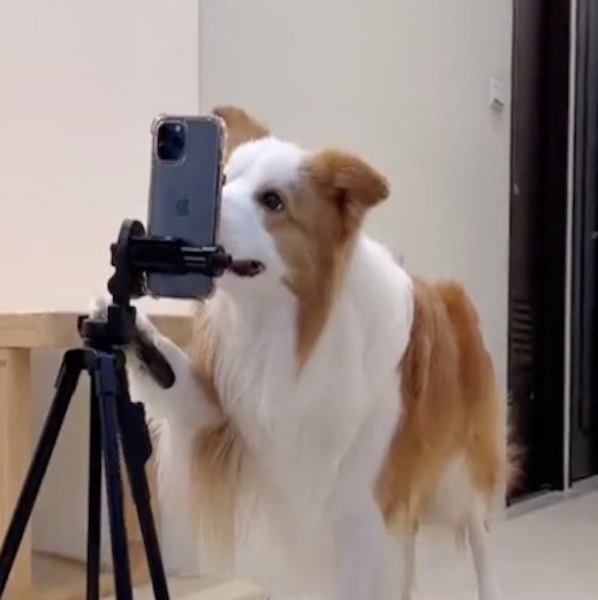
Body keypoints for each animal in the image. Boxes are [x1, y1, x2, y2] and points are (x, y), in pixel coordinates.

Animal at [90, 106, 520, 600]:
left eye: (273, 201)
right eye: (222, 177)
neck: (289, 328)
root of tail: (455, 296)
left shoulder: (363, 510)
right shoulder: (226, 415)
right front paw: (128, 326)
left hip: (465, 474)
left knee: (480, 539)